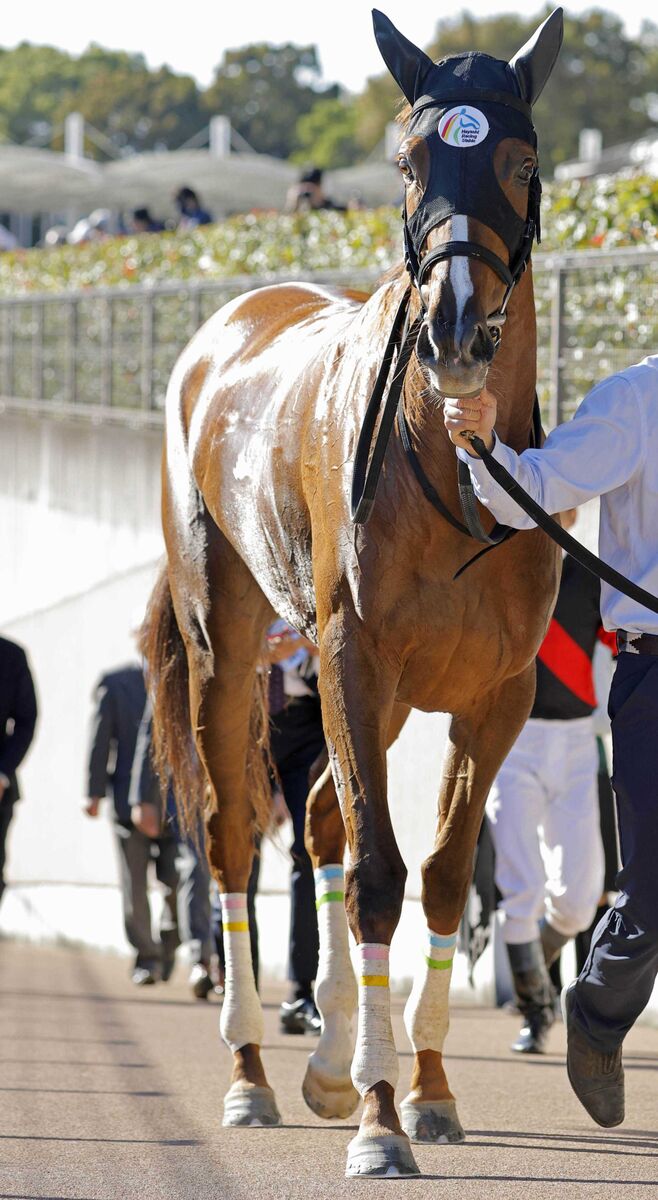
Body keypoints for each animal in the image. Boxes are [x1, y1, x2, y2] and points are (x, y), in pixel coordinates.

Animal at [145, 4, 564, 1176]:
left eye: (520, 161)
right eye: (409, 161)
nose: (456, 332)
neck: (455, 462)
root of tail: (229, 322)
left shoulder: (496, 692)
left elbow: (442, 873)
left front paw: (423, 1089)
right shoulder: (351, 656)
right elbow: (379, 871)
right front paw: (380, 1119)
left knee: (325, 816)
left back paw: (329, 1058)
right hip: (229, 641)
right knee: (233, 835)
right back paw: (253, 1071)